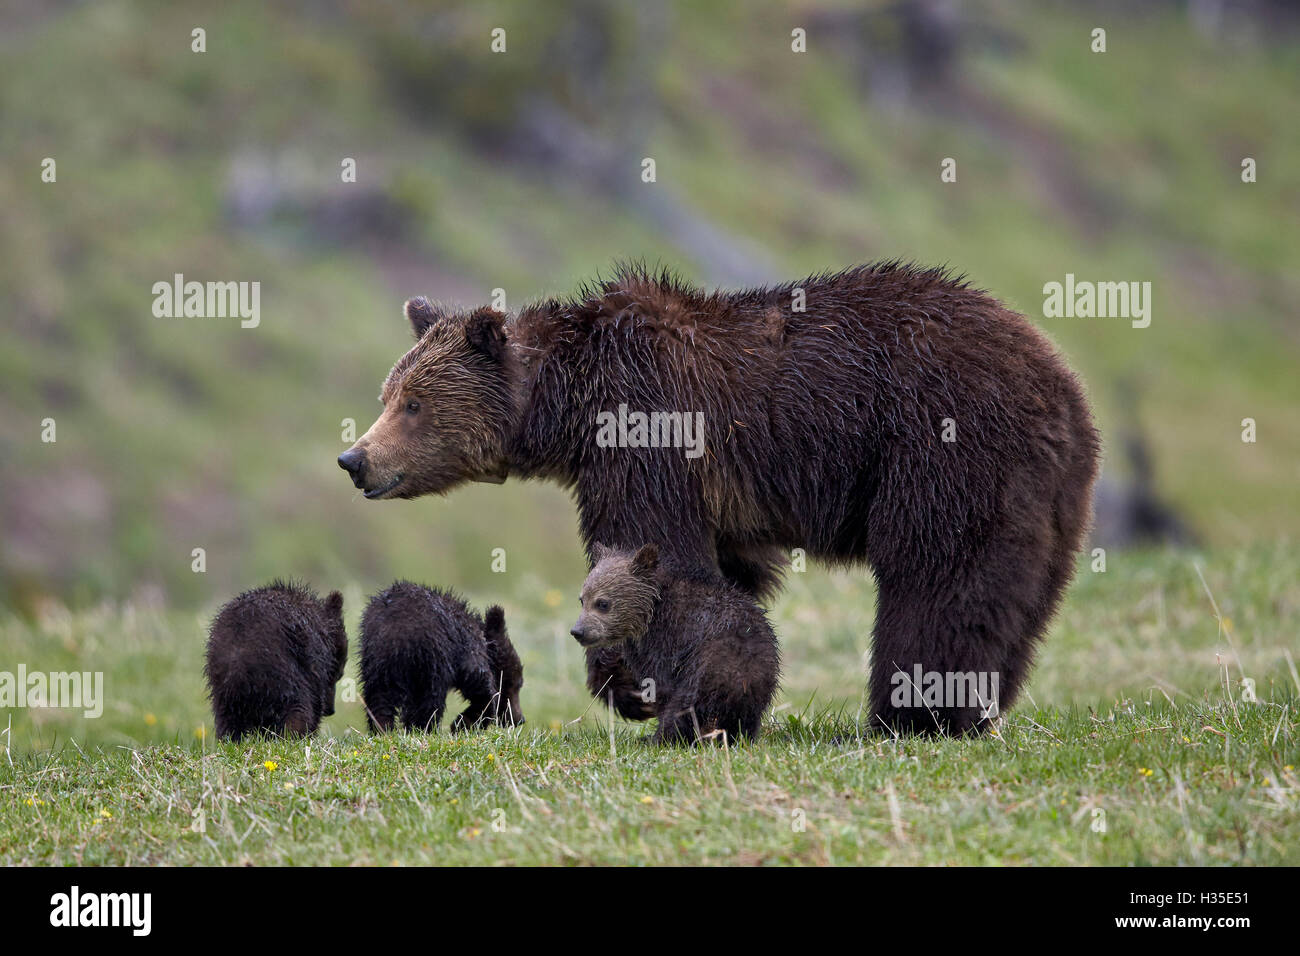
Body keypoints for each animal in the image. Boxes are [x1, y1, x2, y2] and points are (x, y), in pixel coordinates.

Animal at [338, 261, 1097, 733]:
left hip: (944, 449)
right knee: (1015, 597)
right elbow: (731, 570)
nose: (355, 458)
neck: (570, 406)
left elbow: (654, 545)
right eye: (389, 393)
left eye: (411, 403)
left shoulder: (647, 430)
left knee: (938, 577)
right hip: (1046, 494)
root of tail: (1061, 383)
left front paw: (630, 681)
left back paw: (911, 712)